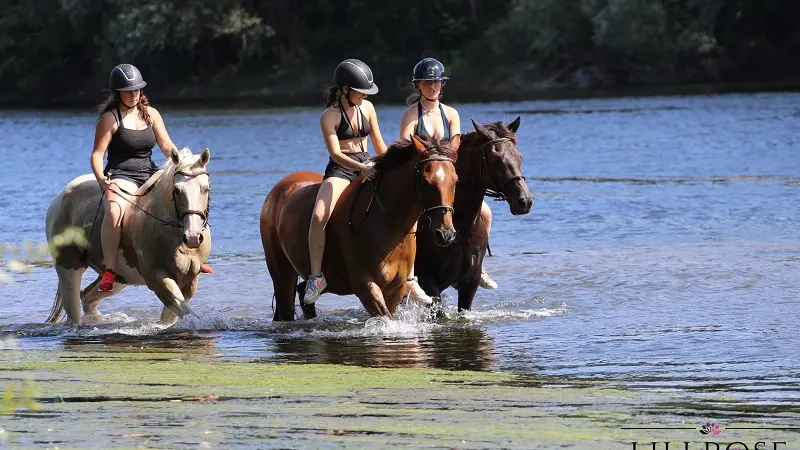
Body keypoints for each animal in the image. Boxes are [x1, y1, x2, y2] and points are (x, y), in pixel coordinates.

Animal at [258, 134, 456, 320]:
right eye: (426, 180)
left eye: (455, 181)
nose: (445, 234)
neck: (386, 225)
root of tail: (276, 191)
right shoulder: (365, 285)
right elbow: (385, 318)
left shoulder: (396, 288)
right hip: (282, 275)